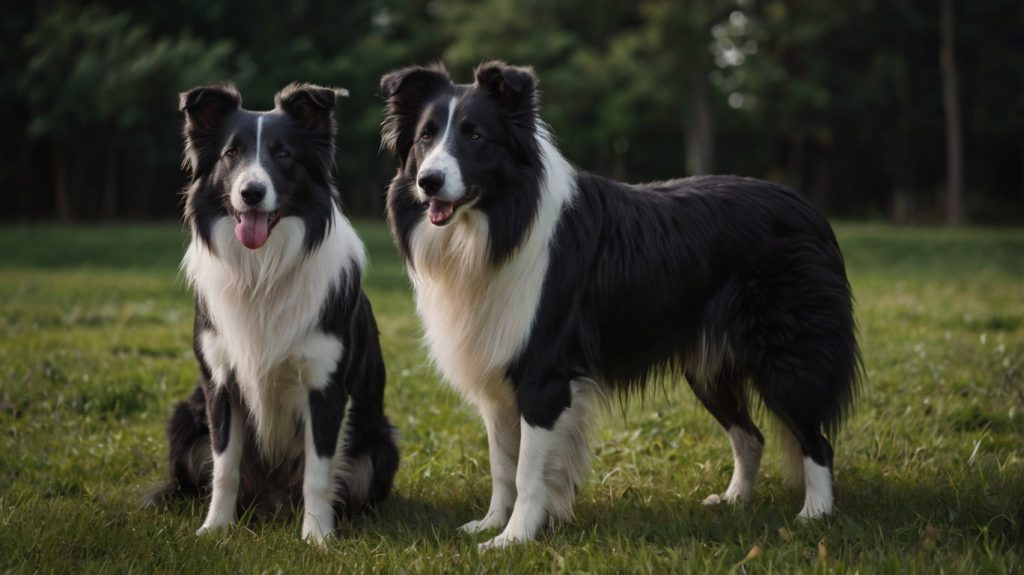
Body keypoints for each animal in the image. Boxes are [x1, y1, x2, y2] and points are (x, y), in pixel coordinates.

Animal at [148, 82, 395, 540]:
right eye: (232, 153)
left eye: (283, 154)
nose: (252, 193)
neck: (262, 270)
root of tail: (272, 501)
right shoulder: (220, 382)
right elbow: (224, 466)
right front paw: (215, 529)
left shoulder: (326, 386)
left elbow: (319, 472)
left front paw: (317, 537)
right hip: (184, 418)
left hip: (381, 443)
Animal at [380, 62, 860, 544]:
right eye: (425, 137)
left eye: (476, 136)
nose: (428, 182)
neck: (496, 224)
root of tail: (810, 211)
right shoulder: (498, 378)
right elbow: (502, 465)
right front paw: (492, 523)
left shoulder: (544, 376)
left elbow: (527, 471)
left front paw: (513, 539)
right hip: (709, 365)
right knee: (751, 435)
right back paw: (734, 500)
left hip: (786, 355)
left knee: (816, 440)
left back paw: (815, 514)